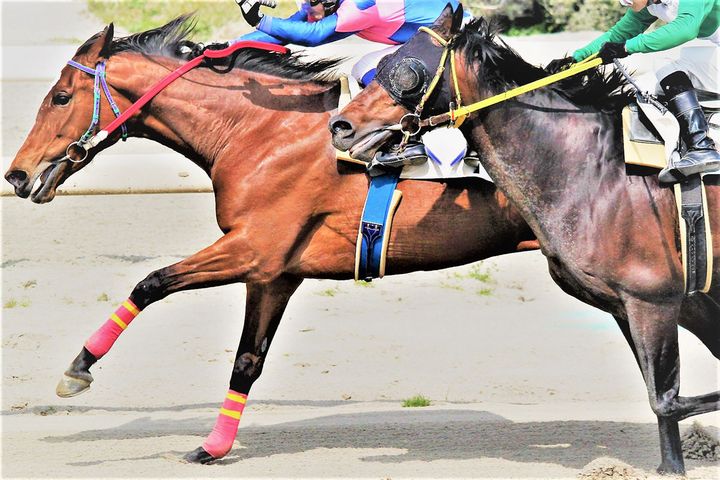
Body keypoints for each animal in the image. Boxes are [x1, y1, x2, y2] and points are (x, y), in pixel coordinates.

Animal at [4, 16, 537, 463]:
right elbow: (246, 360)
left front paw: (77, 368)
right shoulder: (274, 274)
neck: (259, 132)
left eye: (60, 97)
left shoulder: (252, 249)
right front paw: (213, 446)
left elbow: (152, 282)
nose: (17, 175)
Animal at [330, 5, 720, 475]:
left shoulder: (655, 299)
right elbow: (662, 396)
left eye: (408, 70)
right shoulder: (640, 304)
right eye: (382, 64)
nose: (340, 126)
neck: (596, 170)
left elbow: (666, 400)